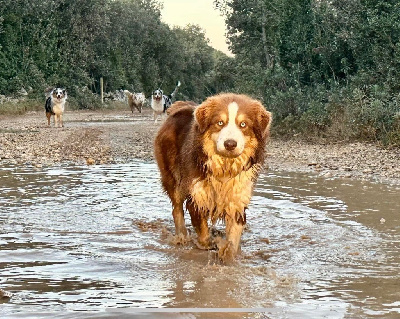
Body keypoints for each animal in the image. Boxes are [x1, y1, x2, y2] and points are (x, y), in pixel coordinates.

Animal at [153, 93, 272, 262]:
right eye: (220, 123)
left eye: (243, 124)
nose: (230, 144)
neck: (224, 168)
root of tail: (180, 107)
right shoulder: (197, 196)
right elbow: (202, 230)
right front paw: (208, 243)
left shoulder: (238, 198)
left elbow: (233, 238)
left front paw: (228, 256)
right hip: (172, 177)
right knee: (176, 209)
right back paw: (182, 236)